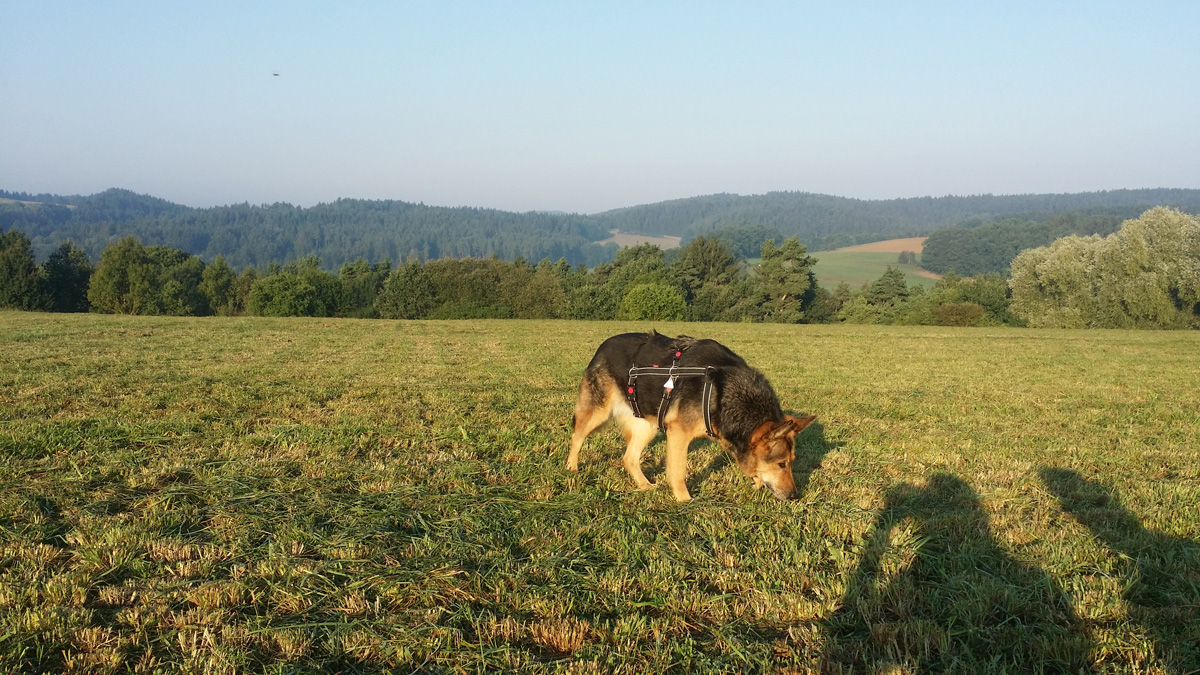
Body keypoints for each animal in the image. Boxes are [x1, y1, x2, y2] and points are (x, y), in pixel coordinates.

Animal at [564, 331, 816, 499]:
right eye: (782, 464)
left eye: (791, 462)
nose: (795, 496)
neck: (721, 391)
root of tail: (603, 345)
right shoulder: (678, 433)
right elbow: (678, 473)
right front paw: (685, 501)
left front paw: (756, 480)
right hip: (598, 412)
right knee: (577, 437)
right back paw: (571, 468)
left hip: (648, 425)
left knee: (629, 458)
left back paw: (645, 486)